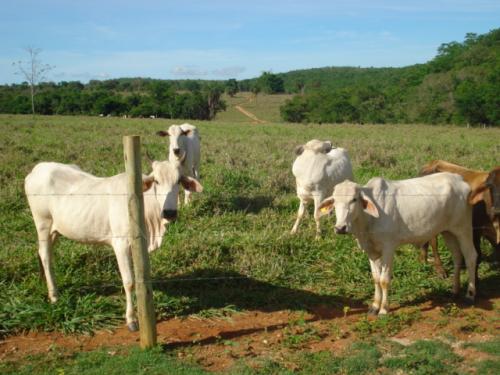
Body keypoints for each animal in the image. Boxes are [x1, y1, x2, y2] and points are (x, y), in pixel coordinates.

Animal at [24, 160, 202, 330]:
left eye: (178, 181)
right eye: (156, 181)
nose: (169, 212)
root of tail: (37, 169)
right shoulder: (121, 244)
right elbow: (129, 282)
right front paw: (131, 319)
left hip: (54, 231)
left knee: (43, 252)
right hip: (43, 224)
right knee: (45, 255)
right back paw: (54, 295)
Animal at [318, 174, 478, 318]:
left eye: (354, 199)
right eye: (334, 201)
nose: (340, 228)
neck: (368, 221)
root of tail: (460, 180)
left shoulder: (388, 248)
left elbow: (384, 280)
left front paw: (383, 309)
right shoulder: (371, 251)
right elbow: (376, 278)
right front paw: (374, 306)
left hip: (463, 229)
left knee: (470, 257)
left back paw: (470, 294)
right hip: (448, 232)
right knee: (457, 257)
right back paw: (455, 291)